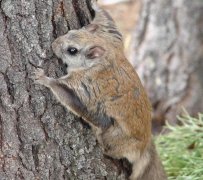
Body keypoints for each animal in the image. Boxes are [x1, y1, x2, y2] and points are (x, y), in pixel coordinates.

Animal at [33, 1, 167, 179]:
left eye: (72, 50)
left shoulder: (86, 85)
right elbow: (109, 23)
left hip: (115, 135)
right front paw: (96, 5)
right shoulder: (112, 38)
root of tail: (144, 146)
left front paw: (45, 79)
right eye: (70, 31)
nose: (54, 44)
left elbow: (71, 97)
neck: (102, 58)